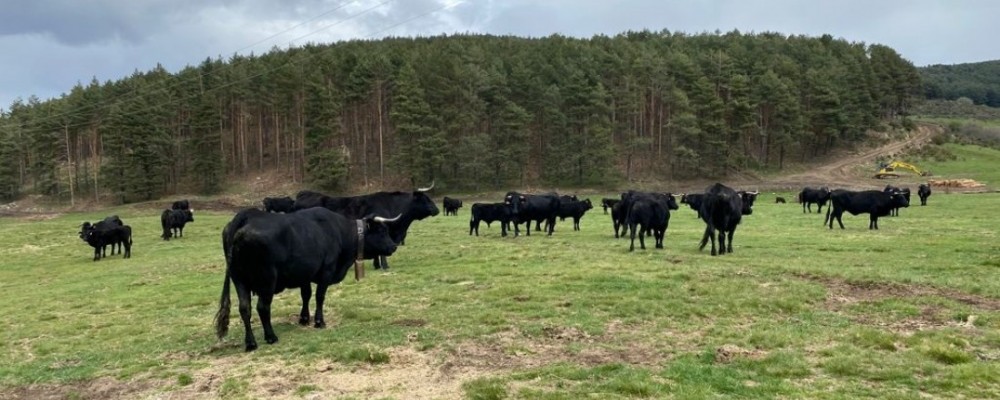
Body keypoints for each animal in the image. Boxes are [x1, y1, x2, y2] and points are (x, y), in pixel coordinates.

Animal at [215, 208, 398, 352]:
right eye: (381, 231)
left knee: (244, 308)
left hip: (238, 279)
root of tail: (248, 214)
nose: (394, 246)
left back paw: (251, 343)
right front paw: (319, 321)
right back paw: (271, 336)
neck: (340, 233)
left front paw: (304, 319)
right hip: (267, 280)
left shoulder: (305, 274)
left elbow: (306, 295)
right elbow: (319, 297)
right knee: (262, 307)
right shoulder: (326, 272)